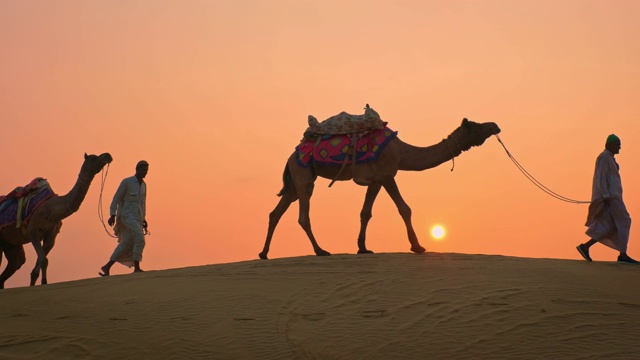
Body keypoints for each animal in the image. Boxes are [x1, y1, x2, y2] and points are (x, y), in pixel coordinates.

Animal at [0, 153, 112, 288]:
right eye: (93, 158)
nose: (108, 155)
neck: (52, 209)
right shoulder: (33, 231)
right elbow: (43, 260)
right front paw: (44, 282)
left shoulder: (51, 236)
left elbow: (37, 268)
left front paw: (41, 283)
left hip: (10, 243)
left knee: (16, 263)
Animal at [260, 107, 500, 258]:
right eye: (478, 126)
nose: (495, 125)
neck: (402, 152)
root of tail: (291, 156)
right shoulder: (387, 174)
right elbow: (404, 208)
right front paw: (418, 246)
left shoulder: (375, 180)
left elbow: (365, 212)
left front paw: (363, 248)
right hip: (303, 174)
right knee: (303, 215)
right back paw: (320, 251)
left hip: (295, 181)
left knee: (276, 212)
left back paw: (264, 253)